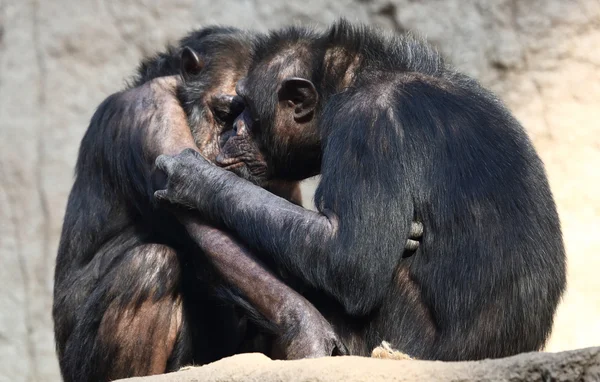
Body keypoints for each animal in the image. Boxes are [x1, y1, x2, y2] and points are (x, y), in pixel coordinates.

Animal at [155, 20, 568, 362]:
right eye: (234, 107)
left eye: (246, 107)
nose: (234, 128)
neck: (354, 85)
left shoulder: (367, 126)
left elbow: (349, 257)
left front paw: (192, 178)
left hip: (398, 342)